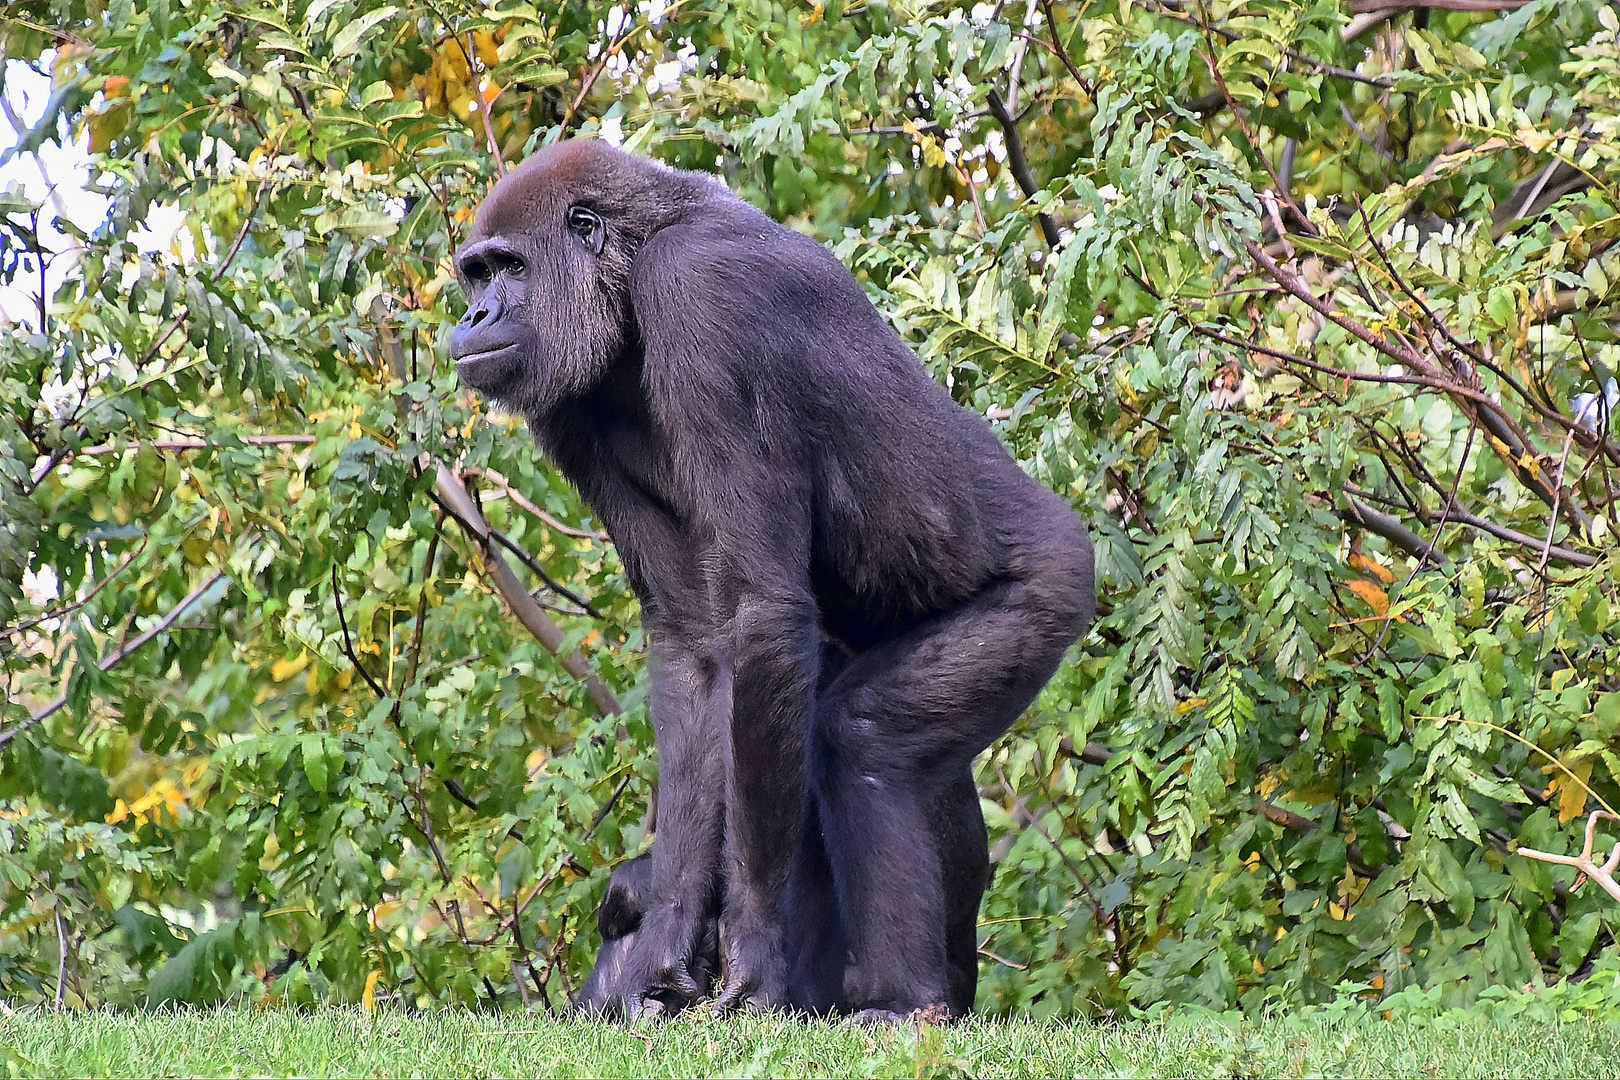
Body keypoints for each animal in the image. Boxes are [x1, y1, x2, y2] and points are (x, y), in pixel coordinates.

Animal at [450, 137, 1095, 1023]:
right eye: (475, 276)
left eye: (509, 268)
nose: (473, 319)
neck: (634, 261)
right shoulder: (567, 409)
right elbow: (694, 646)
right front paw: (668, 936)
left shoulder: (703, 297)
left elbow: (760, 611)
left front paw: (751, 957)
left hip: (1048, 592)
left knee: (861, 737)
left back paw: (901, 1000)